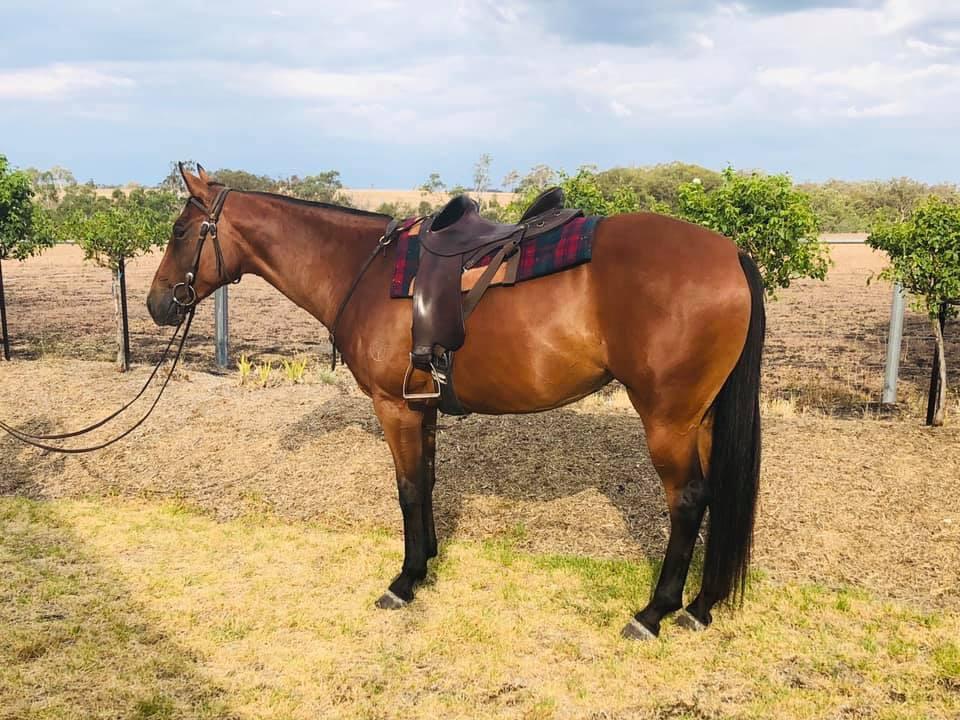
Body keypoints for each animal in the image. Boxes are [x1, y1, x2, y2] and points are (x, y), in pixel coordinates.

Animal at [147, 164, 765, 640]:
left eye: (179, 231)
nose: (157, 305)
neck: (361, 270)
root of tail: (732, 252)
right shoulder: (421, 407)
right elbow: (427, 481)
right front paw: (429, 562)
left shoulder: (394, 407)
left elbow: (407, 488)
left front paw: (404, 581)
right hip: (702, 418)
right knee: (716, 496)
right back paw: (701, 606)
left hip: (668, 420)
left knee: (688, 501)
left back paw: (655, 612)